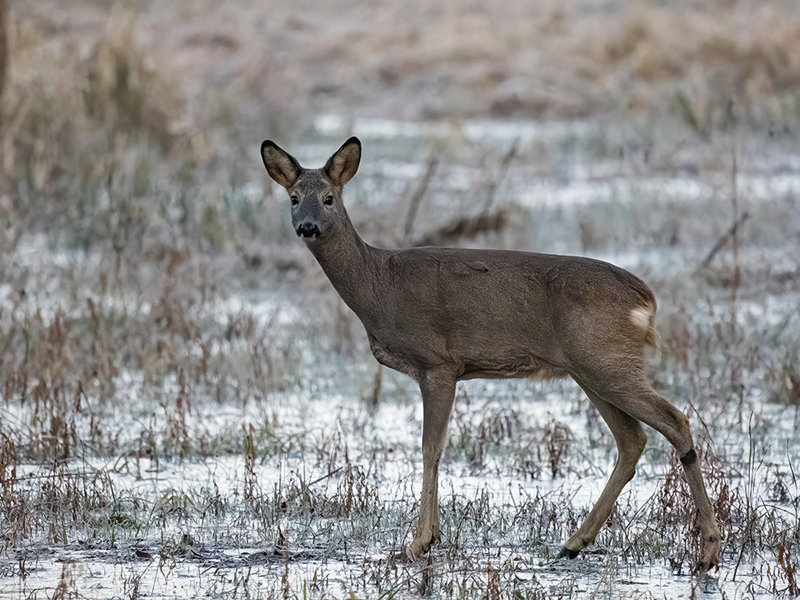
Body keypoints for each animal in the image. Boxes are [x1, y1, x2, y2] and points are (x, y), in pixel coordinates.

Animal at [260, 137, 720, 572]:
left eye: (329, 198)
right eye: (294, 197)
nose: (307, 227)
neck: (378, 285)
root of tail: (645, 299)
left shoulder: (438, 364)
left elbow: (431, 447)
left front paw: (418, 542)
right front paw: (430, 537)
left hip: (606, 361)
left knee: (675, 421)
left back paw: (708, 552)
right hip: (590, 369)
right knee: (632, 439)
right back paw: (573, 543)